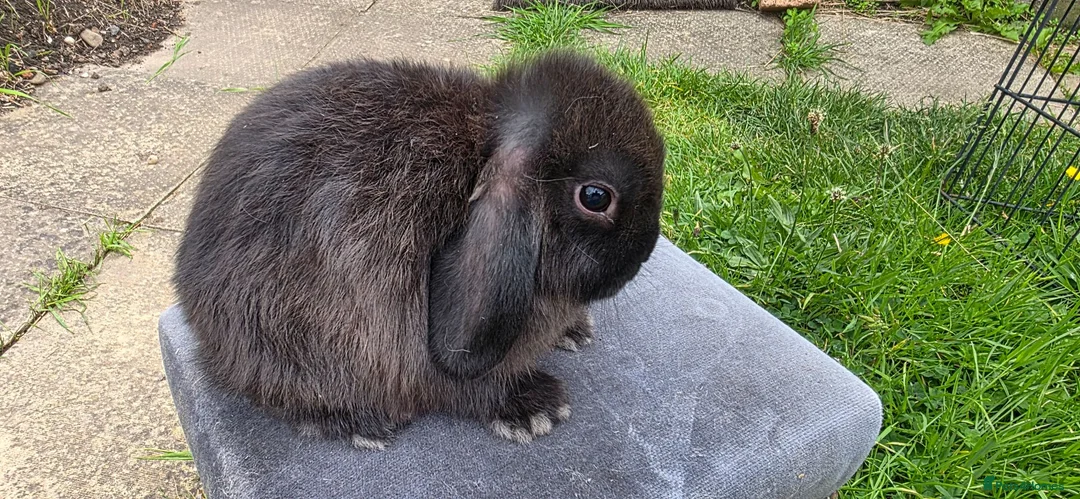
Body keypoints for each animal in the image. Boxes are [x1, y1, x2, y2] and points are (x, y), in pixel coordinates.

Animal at [173, 49, 666, 450]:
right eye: (596, 197)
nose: (641, 258)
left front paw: (574, 332)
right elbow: (466, 389)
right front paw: (536, 409)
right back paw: (365, 426)